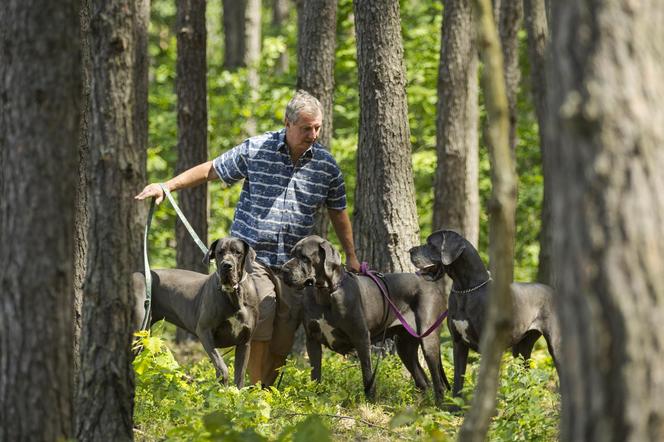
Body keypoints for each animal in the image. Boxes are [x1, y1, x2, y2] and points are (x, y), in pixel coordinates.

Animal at [133, 238, 260, 386]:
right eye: (219, 252)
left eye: (238, 252)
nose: (226, 265)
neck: (234, 295)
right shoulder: (204, 331)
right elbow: (222, 367)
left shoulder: (244, 342)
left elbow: (239, 376)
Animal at [280, 237, 452, 406]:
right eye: (292, 254)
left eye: (304, 257)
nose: (283, 270)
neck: (325, 293)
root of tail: (431, 284)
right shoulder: (312, 340)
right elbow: (315, 373)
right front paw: (314, 399)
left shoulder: (361, 337)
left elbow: (367, 374)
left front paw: (369, 401)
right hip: (405, 347)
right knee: (423, 380)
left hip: (428, 339)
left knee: (438, 382)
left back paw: (437, 407)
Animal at [410, 230, 560, 396]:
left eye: (430, 244)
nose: (410, 251)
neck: (465, 289)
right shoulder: (458, 342)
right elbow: (458, 379)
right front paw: (454, 403)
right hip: (521, 347)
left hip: (555, 344)